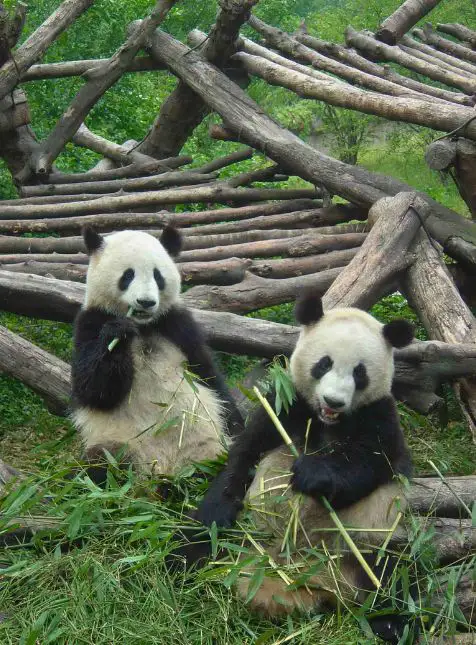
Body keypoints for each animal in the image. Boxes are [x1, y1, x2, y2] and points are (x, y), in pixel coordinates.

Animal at [71, 226, 243, 485]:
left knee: (219, 465)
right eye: (127, 275)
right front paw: (118, 333)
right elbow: (92, 388)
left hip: (206, 445)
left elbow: (209, 375)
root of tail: (164, 469)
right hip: (121, 444)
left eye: (158, 276)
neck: (143, 326)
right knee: (101, 467)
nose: (145, 302)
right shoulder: (90, 323)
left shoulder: (177, 326)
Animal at [173, 290, 416, 642]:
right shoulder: (286, 403)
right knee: (203, 542)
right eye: (324, 364)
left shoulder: (379, 416)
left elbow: (369, 464)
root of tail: (305, 580)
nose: (333, 401)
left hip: (369, 540)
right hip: (244, 535)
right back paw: (179, 563)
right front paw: (215, 510)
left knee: (393, 575)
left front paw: (311, 473)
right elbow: (245, 456)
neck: (328, 421)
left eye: (360, 372)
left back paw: (392, 623)